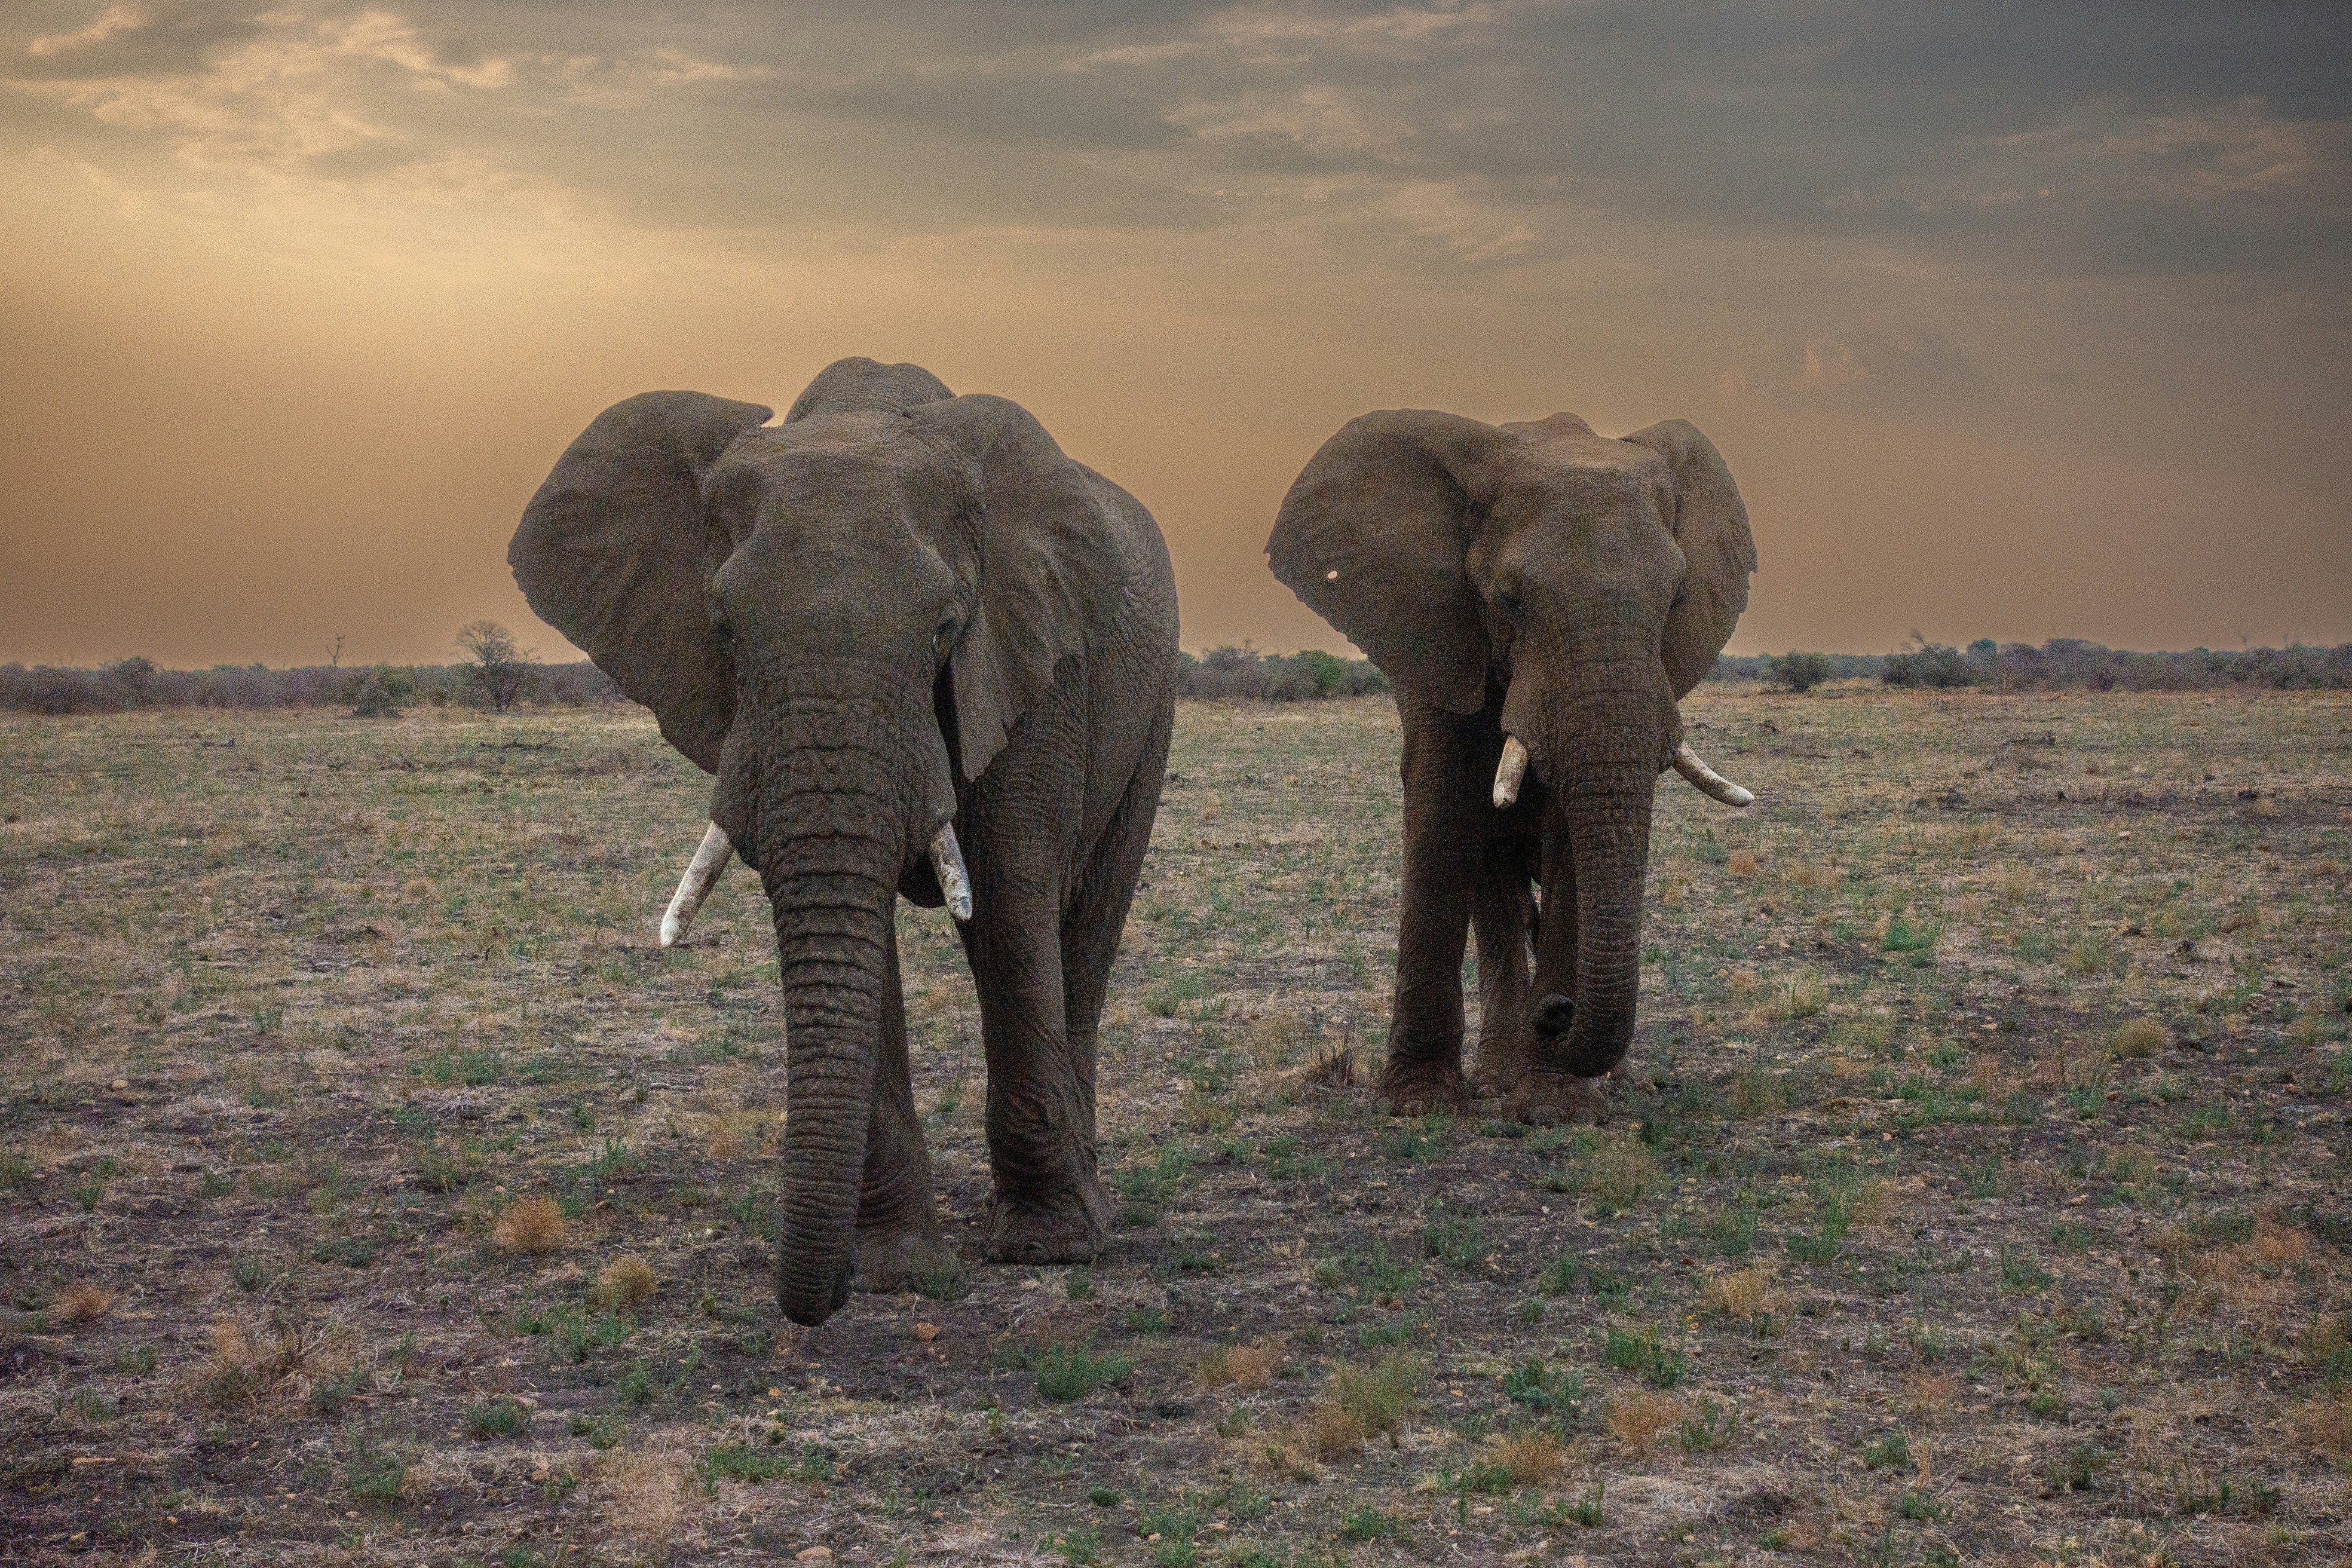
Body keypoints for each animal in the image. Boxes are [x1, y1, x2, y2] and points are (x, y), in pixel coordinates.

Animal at [510, 357, 1178, 1326]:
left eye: (945, 626)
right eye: (723, 628)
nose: (814, 1299)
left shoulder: (1030, 661)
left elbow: (1010, 903)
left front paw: (1049, 1251)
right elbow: (861, 933)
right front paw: (898, 1267)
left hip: (1151, 704)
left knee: (1084, 929)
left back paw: (1088, 1203)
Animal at [1267, 408, 1756, 1125]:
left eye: (1677, 600)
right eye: (1510, 599)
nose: (1558, 1012)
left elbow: (1571, 837)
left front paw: (1557, 1110)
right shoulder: (1439, 639)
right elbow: (1442, 810)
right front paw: (1414, 1106)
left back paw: (1615, 1084)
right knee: (1494, 895)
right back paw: (1497, 1081)